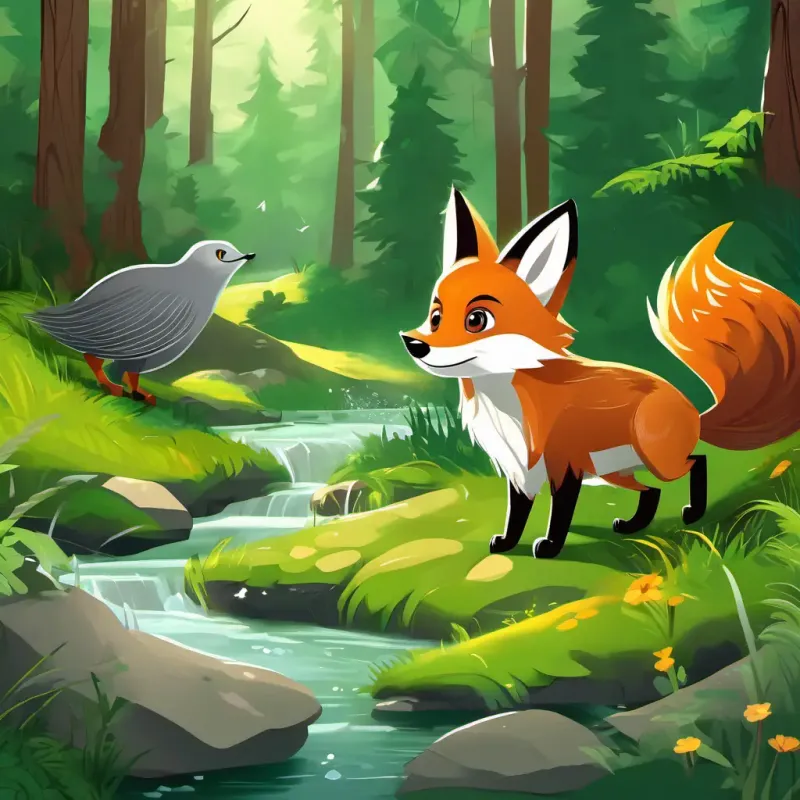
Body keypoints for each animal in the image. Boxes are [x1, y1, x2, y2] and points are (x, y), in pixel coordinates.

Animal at [400, 188, 800, 559]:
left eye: (476, 319)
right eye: (436, 317)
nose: (413, 343)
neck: (507, 402)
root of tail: (695, 411)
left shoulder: (564, 463)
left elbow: (559, 512)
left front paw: (550, 547)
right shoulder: (521, 468)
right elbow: (517, 513)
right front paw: (507, 543)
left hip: (655, 460)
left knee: (696, 463)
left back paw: (692, 512)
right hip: (612, 472)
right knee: (652, 490)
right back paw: (634, 525)